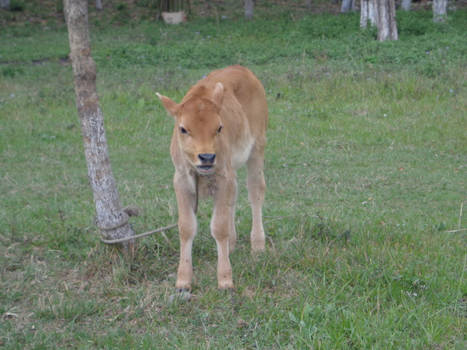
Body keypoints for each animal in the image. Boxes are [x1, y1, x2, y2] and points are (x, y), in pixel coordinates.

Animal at [156, 65, 266, 290]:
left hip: (257, 147)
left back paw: (258, 244)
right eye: (183, 129)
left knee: (255, 191)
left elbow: (219, 226)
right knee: (235, 196)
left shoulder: (223, 176)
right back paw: (232, 244)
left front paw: (225, 279)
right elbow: (186, 227)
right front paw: (183, 280)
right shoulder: (181, 180)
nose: (207, 157)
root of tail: (242, 69)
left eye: (219, 127)